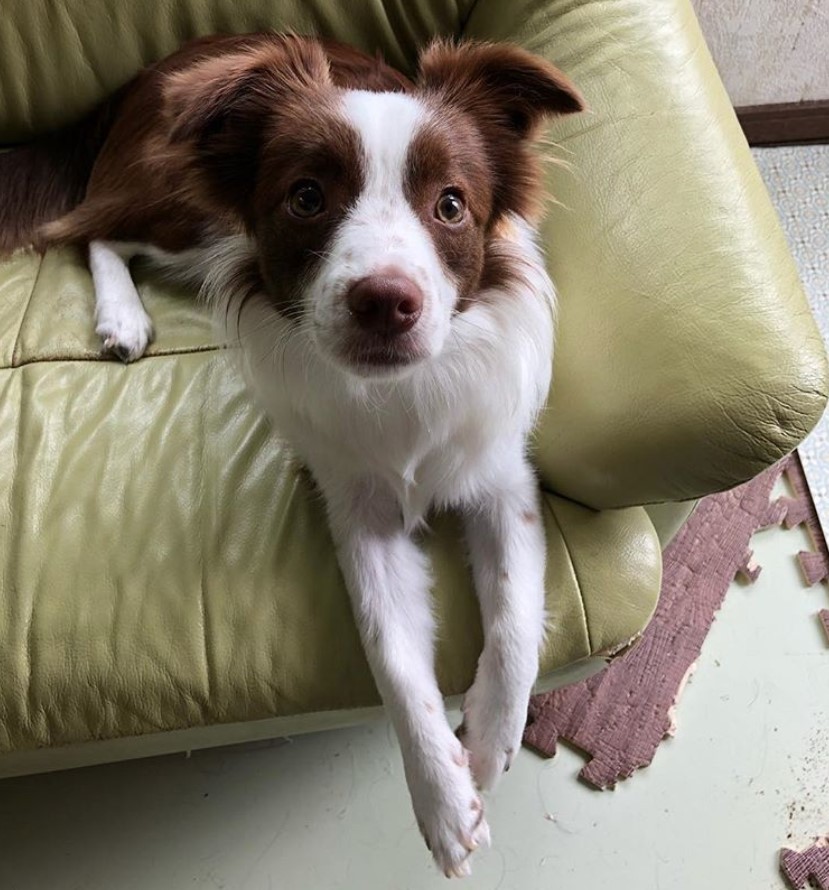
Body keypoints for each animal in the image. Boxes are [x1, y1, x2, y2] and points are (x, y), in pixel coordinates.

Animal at [0, 33, 584, 876]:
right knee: (92, 229)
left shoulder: (501, 480)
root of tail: (161, 66)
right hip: (192, 209)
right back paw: (121, 318)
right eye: (306, 197)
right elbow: (390, 654)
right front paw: (442, 800)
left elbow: (513, 618)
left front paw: (484, 745)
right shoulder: (354, 507)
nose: (385, 302)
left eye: (450, 205)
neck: (396, 392)